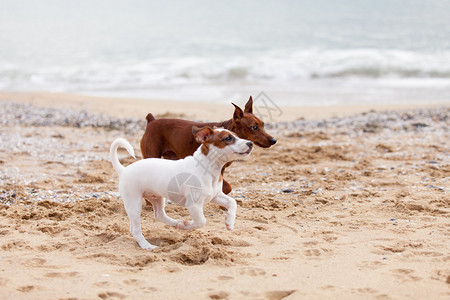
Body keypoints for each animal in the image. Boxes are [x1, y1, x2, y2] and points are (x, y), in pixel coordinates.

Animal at [110, 125, 253, 250]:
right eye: (228, 138)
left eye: (237, 135)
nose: (250, 143)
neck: (207, 168)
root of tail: (124, 169)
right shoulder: (193, 204)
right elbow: (201, 221)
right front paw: (187, 226)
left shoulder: (215, 196)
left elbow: (232, 202)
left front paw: (229, 222)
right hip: (134, 203)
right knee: (135, 229)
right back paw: (147, 245)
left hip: (156, 197)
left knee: (159, 215)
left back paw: (176, 223)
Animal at [141, 96, 276, 195]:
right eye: (254, 127)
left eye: (263, 125)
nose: (274, 140)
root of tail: (152, 121)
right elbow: (227, 187)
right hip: (152, 155)